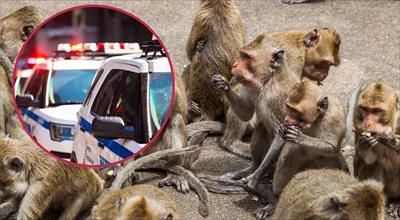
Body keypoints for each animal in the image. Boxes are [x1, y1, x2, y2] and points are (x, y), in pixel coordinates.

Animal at [354, 80, 400, 217]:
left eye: (377, 111)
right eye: (366, 109)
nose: (367, 123)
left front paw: (389, 139)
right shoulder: (357, 122)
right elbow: (370, 160)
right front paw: (363, 144)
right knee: (375, 165)